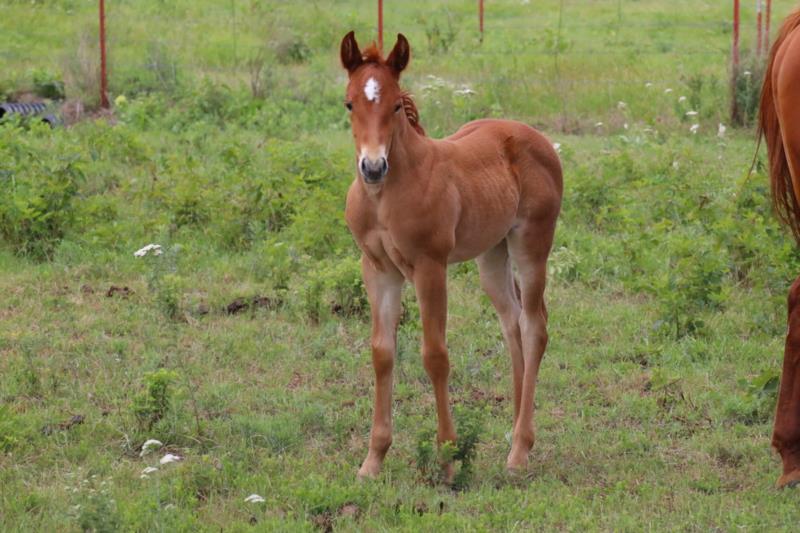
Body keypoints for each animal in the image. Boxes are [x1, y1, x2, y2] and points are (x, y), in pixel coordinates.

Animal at [339, 31, 563, 479]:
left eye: (394, 104)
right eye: (350, 103)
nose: (373, 167)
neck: (384, 196)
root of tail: (537, 137)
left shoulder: (430, 267)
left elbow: (435, 355)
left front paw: (447, 456)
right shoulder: (378, 270)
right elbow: (382, 353)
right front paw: (373, 459)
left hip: (532, 244)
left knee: (534, 326)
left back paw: (520, 451)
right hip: (491, 256)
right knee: (512, 323)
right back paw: (515, 431)